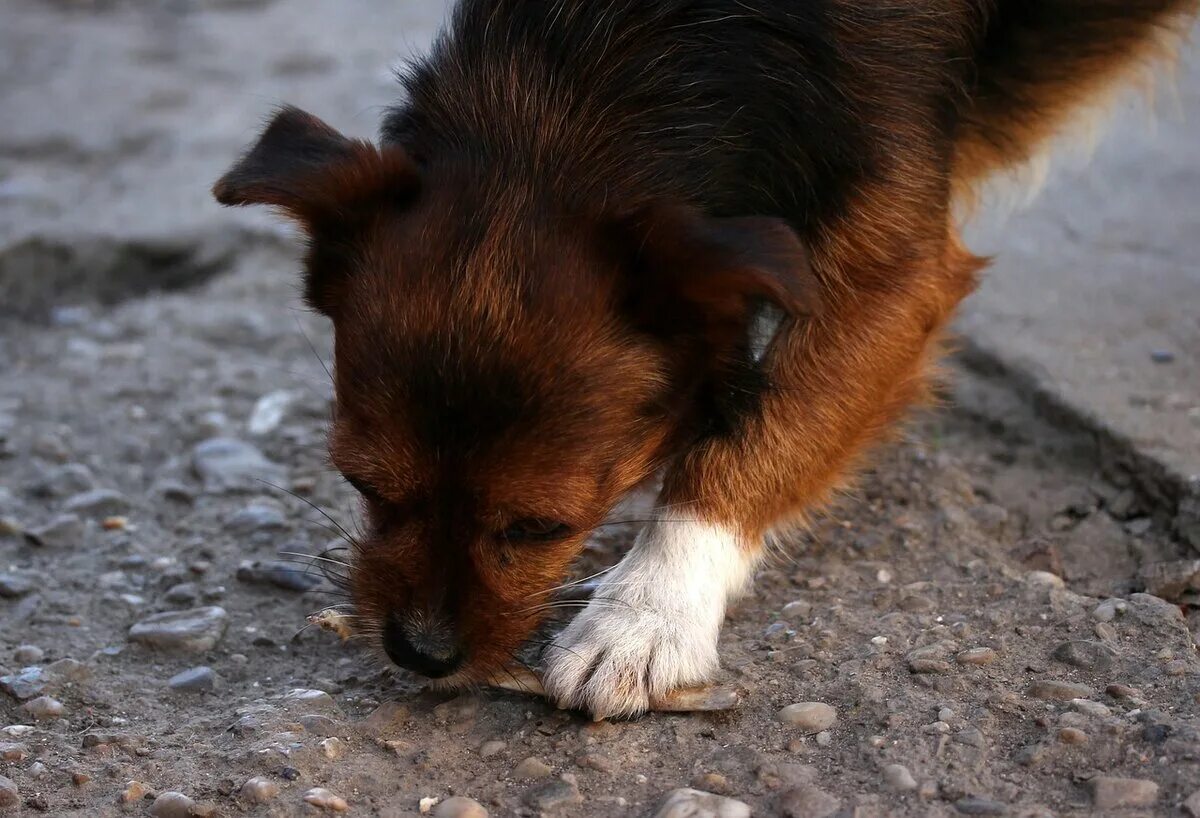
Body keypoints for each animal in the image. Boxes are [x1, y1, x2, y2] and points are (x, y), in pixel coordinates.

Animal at [211, 0, 1195, 714]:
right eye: (362, 484)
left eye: (544, 529)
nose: (420, 654)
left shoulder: (897, 278)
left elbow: (751, 441)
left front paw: (648, 611)